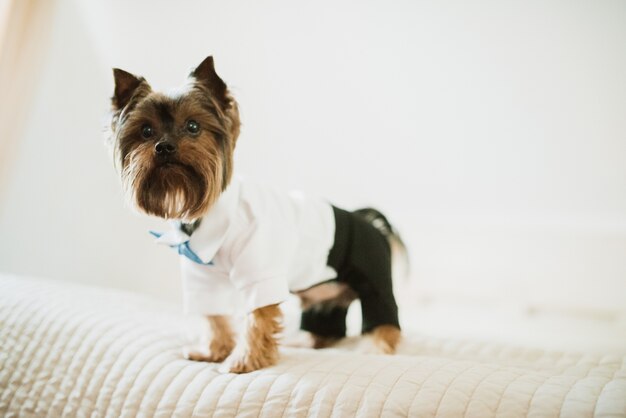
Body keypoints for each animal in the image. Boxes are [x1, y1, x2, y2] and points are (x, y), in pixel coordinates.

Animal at [105, 55, 402, 372]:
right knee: (329, 323)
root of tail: (369, 222)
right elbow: (214, 316)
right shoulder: (202, 277)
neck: (206, 216)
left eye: (193, 126)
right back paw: (309, 340)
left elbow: (258, 317)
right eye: (146, 131)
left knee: (384, 316)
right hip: (324, 293)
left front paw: (245, 359)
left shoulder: (260, 269)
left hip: (373, 278)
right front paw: (213, 350)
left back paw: (377, 347)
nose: (164, 146)